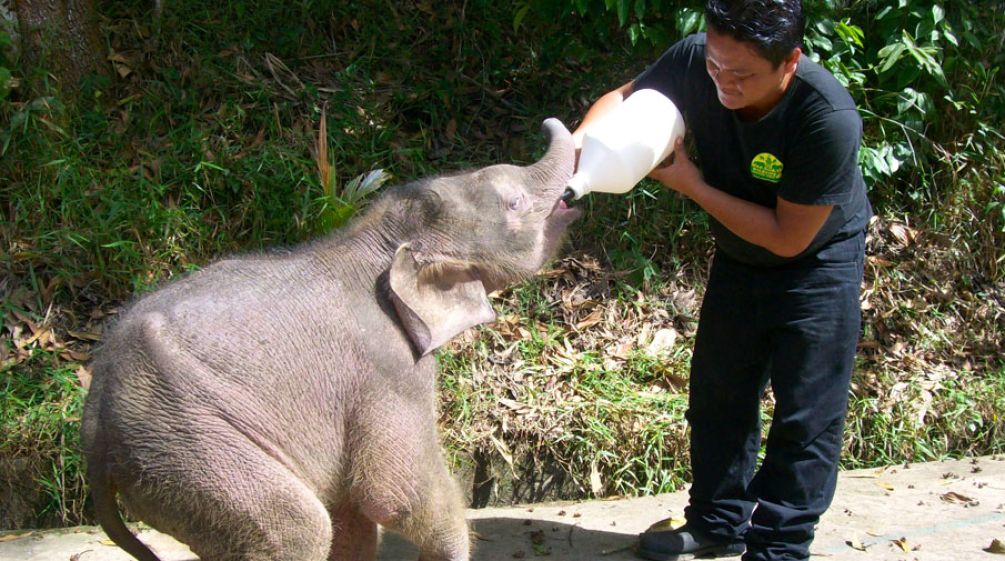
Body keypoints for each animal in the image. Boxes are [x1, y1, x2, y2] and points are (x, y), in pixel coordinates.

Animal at [83, 118, 582, 561]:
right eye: (514, 203)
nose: (574, 194)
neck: (372, 237)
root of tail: (94, 430)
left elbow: (352, 514)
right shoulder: (388, 370)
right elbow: (393, 493)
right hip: (192, 445)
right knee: (295, 530)